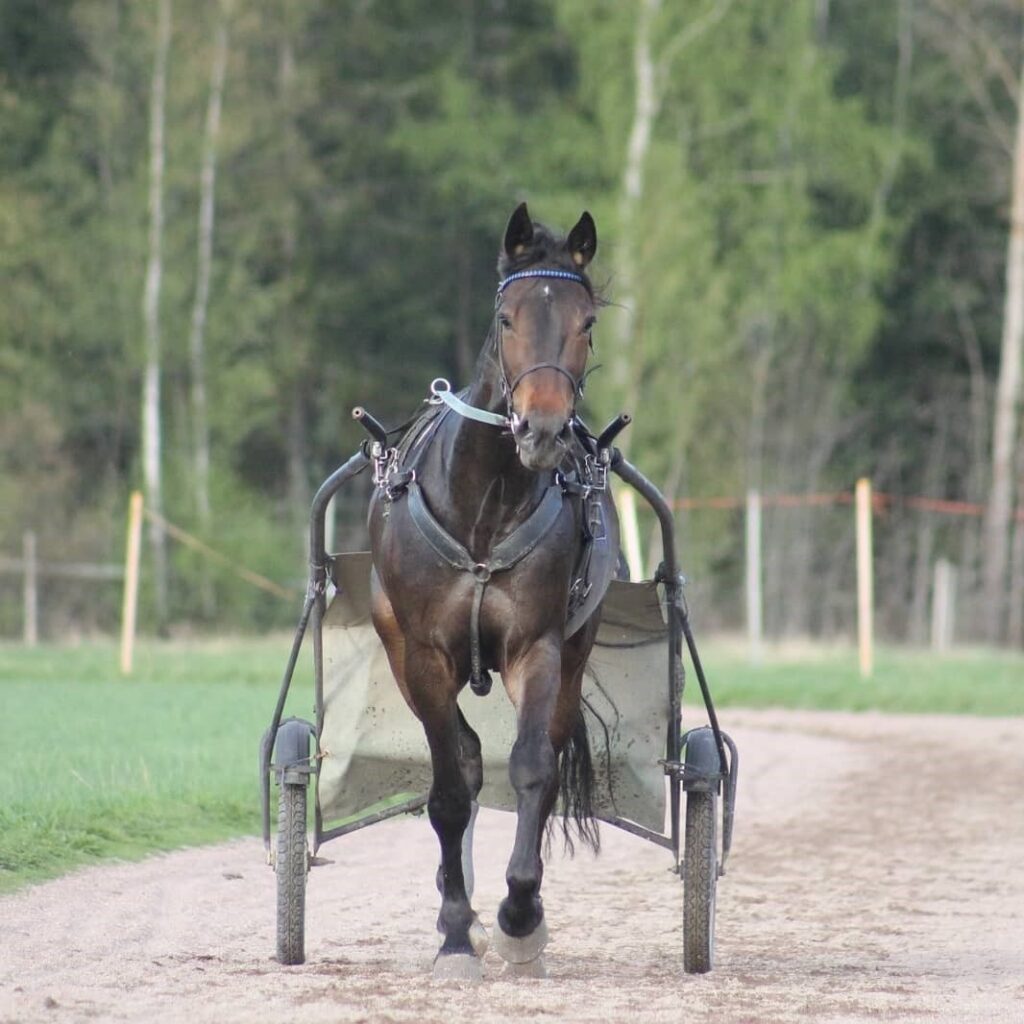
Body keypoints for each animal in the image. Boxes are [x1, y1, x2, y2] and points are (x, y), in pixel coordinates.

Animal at [370, 201, 618, 983]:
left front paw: (519, 918)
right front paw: (456, 931)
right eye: (507, 317)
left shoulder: (538, 645)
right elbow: (451, 790)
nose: (541, 428)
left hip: (574, 649)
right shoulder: (423, 653)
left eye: (586, 322)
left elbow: (535, 766)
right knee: (467, 756)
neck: (485, 508)